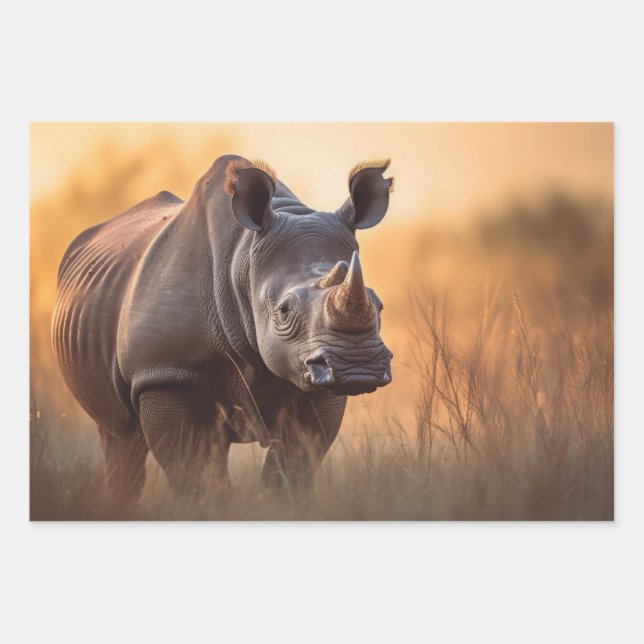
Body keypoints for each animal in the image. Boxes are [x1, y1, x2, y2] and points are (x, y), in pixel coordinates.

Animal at [52, 154, 394, 504]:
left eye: (379, 306)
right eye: (284, 311)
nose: (358, 368)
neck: (243, 260)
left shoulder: (313, 380)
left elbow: (294, 463)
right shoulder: (164, 371)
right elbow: (194, 472)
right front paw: (206, 506)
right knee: (120, 434)